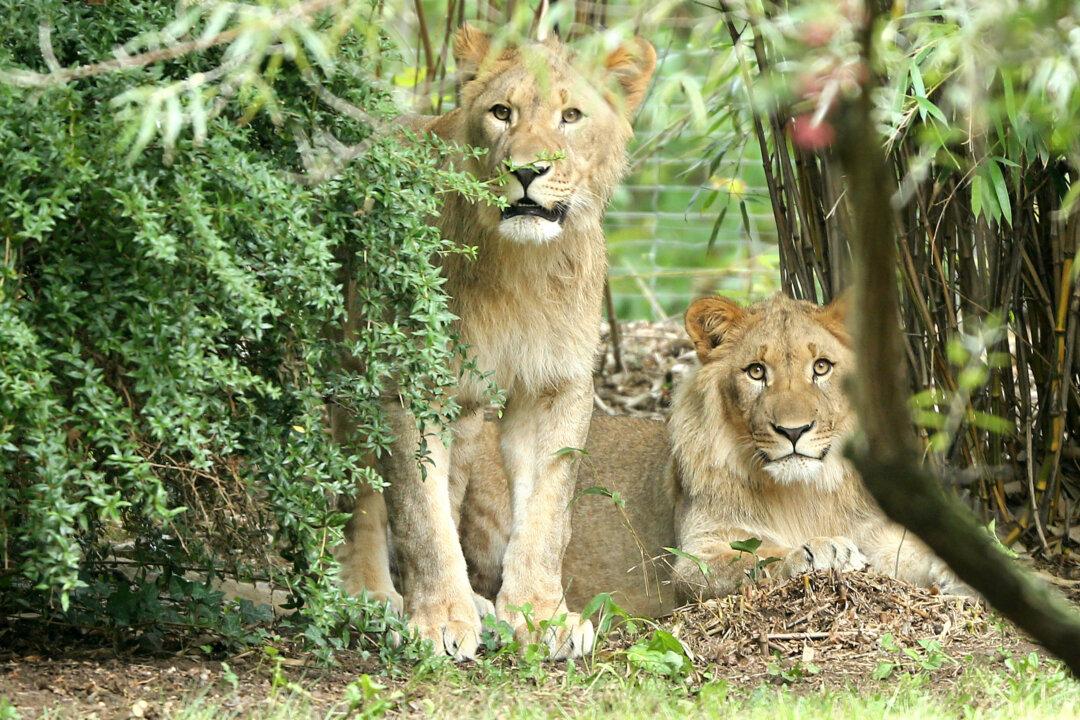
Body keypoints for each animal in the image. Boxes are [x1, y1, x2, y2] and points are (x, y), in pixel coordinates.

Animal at [334, 25, 656, 660]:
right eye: (502, 112)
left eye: (571, 116)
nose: (527, 171)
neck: (522, 266)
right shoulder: (412, 385)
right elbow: (419, 511)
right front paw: (438, 619)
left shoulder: (555, 386)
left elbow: (546, 512)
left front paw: (541, 616)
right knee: (360, 493)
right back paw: (370, 595)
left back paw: (477, 604)